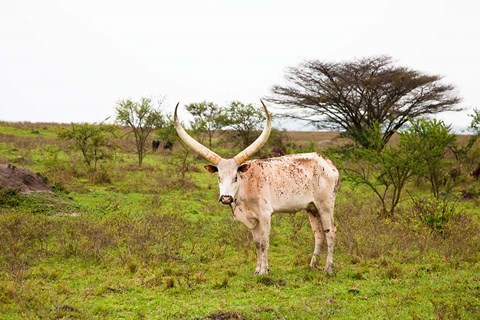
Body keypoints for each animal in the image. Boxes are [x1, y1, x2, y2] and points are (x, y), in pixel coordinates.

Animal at [174, 100, 340, 276]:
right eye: (219, 177)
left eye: (236, 177)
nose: (226, 198)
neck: (246, 188)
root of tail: (328, 163)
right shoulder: (251, 219)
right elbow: (257, 243)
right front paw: (257, 269)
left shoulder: (265, 215)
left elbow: (264, 242)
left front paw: (264, 271)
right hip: (312, 208)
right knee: (319, 235)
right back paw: (312, 265)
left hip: (325, 206)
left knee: (331, 232)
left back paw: (328, 268)